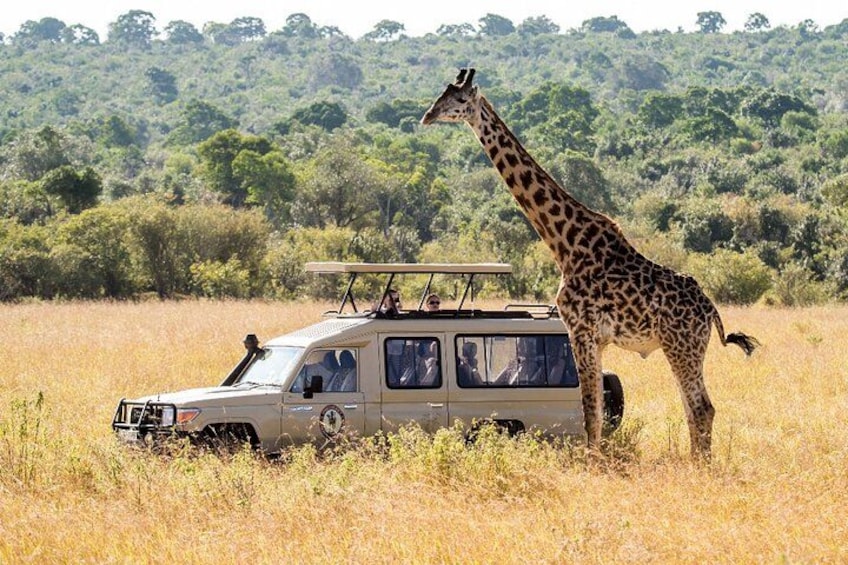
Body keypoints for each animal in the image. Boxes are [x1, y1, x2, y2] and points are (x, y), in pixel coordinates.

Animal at [421, 68, 758, 459]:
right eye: (441, 94)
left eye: (459, 100)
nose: (427, 116)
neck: (564, 243)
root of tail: (711, 312)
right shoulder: (596, 339)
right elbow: (594, 408)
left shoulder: (580, 330)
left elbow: (589, 412)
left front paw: (592, 464)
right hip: (683, 349)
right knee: (694, 408)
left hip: (682, 346)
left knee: (702, 407)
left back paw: (699, 466)